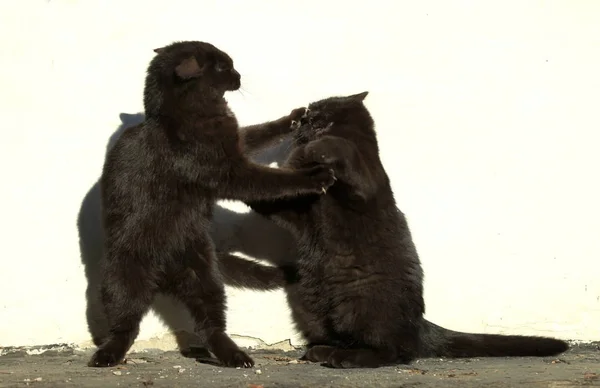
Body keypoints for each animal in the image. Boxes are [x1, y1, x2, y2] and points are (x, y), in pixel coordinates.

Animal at [89, 41, 336, 368]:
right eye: (223, 66)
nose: (239, 75)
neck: (179, 116)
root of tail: (164, 277)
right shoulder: (231, 171)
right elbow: (274, 179)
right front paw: (315, 176)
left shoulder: (236, 144)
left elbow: (258, 132)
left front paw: (293, 118)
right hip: (123, 273)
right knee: (125, 323)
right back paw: (108, 354)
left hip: (203, 272)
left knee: (210, 323)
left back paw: (234, 354)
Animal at [219, 92, 568, 368]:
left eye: (315, 113)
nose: (302, 117)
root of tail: (418, 325)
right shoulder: (296, 213)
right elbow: (269, 197)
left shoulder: (364, 186)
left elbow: (348, 155)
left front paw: (321, 147)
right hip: (313, 306)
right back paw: (323, 351)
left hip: (363, 306)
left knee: (395, 352)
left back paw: (346, 359)